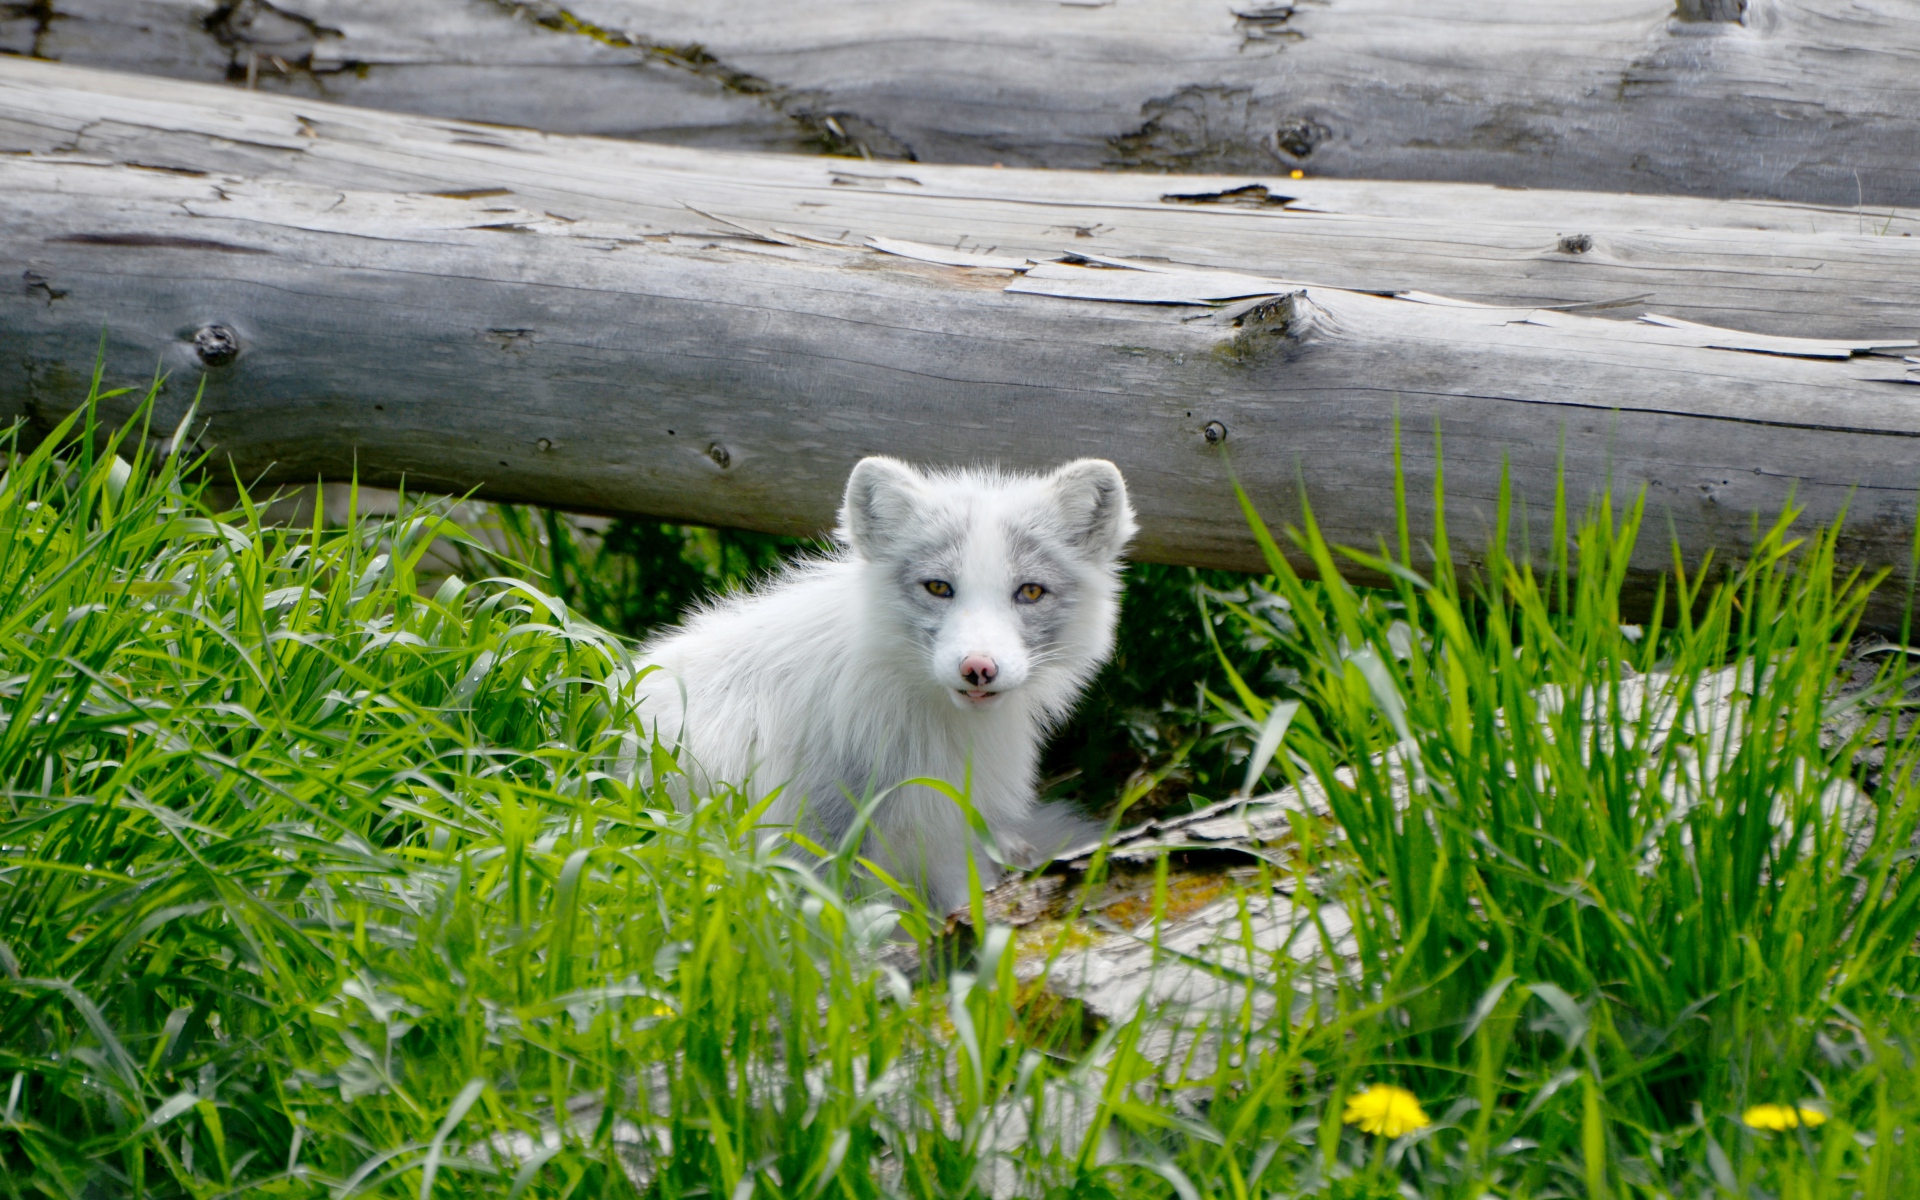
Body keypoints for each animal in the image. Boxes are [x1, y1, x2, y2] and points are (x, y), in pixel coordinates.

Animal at [629, 455, 1136, 915]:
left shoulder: (945, 831)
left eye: (1030, 592)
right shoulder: (825, 838)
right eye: (938, 587)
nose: (978, 668)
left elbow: (960, 905)